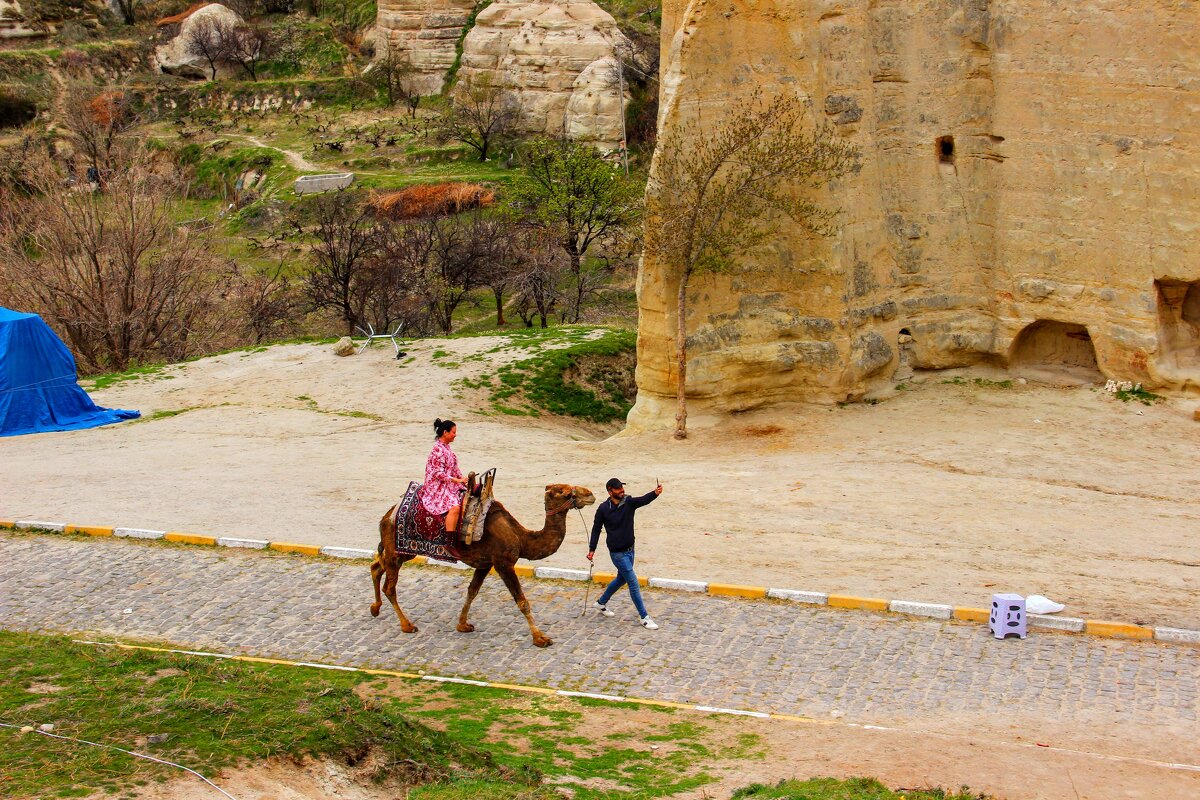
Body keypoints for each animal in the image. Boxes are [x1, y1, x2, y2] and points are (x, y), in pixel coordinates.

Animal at [364, 484, 590, 647]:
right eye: (565, 492)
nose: (590, 494)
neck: (520, 536)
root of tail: (388, 515)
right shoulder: (503, 563)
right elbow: (522, 601)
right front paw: (540, 638)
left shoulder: (485, 563)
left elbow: (472, 591)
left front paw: (463, 624)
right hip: (399, 550)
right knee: (389, 586)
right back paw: (407, 625)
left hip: (402, 552)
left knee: (377, 565)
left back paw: (375, 608)